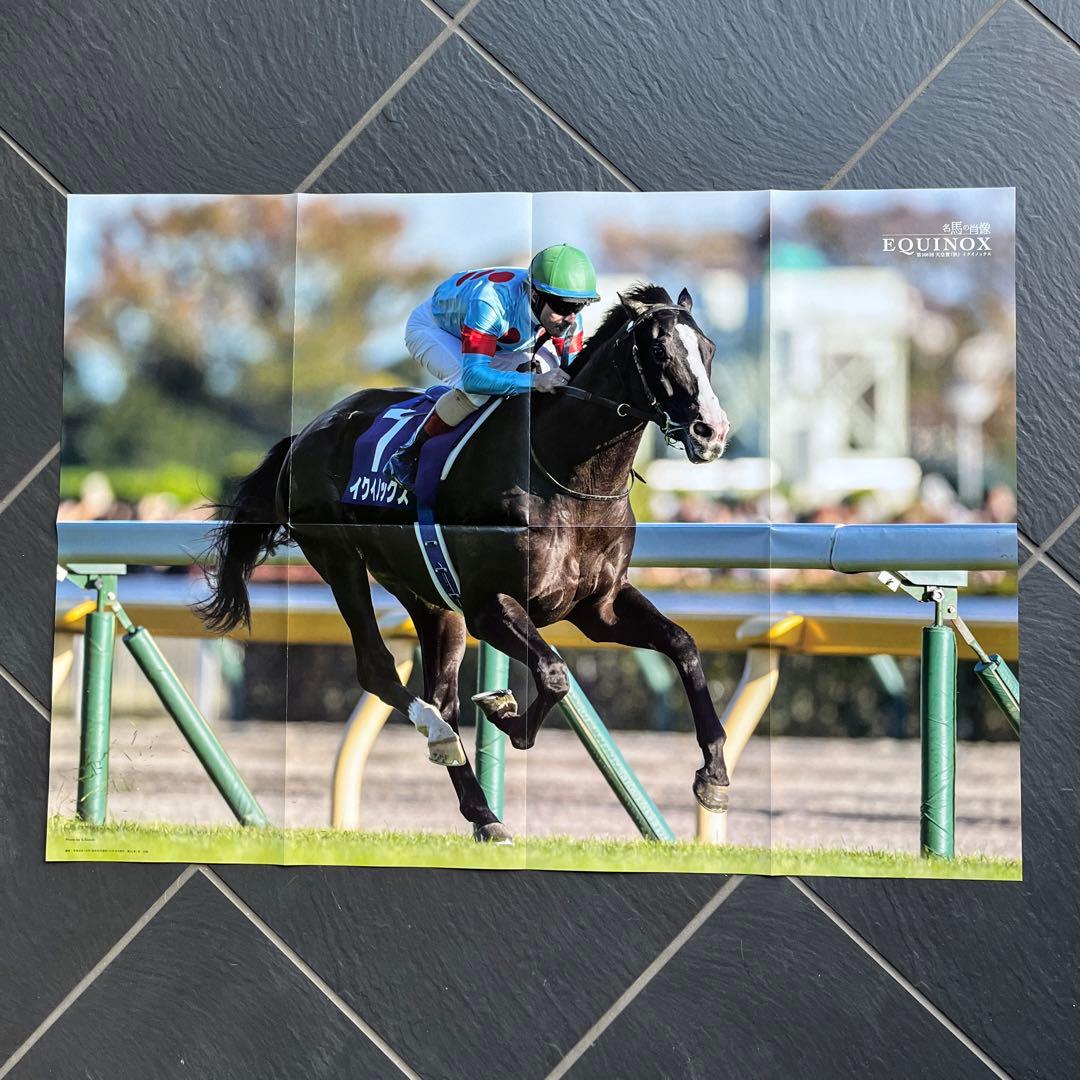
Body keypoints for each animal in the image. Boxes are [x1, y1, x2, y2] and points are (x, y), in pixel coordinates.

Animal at [197, 283, 732, 842]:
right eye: (659, 350)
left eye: (709, 349)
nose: (711, 431)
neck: (572, 479)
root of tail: (306, 432)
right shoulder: (488, 606)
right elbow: (554, 673)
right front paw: (505, 715)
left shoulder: (599, 608)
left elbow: (682, 644)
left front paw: (713, 774)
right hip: (337, 559)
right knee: (379, 670)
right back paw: (439, 737)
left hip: (427, 594)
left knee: (443, 695)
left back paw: (483, 810)